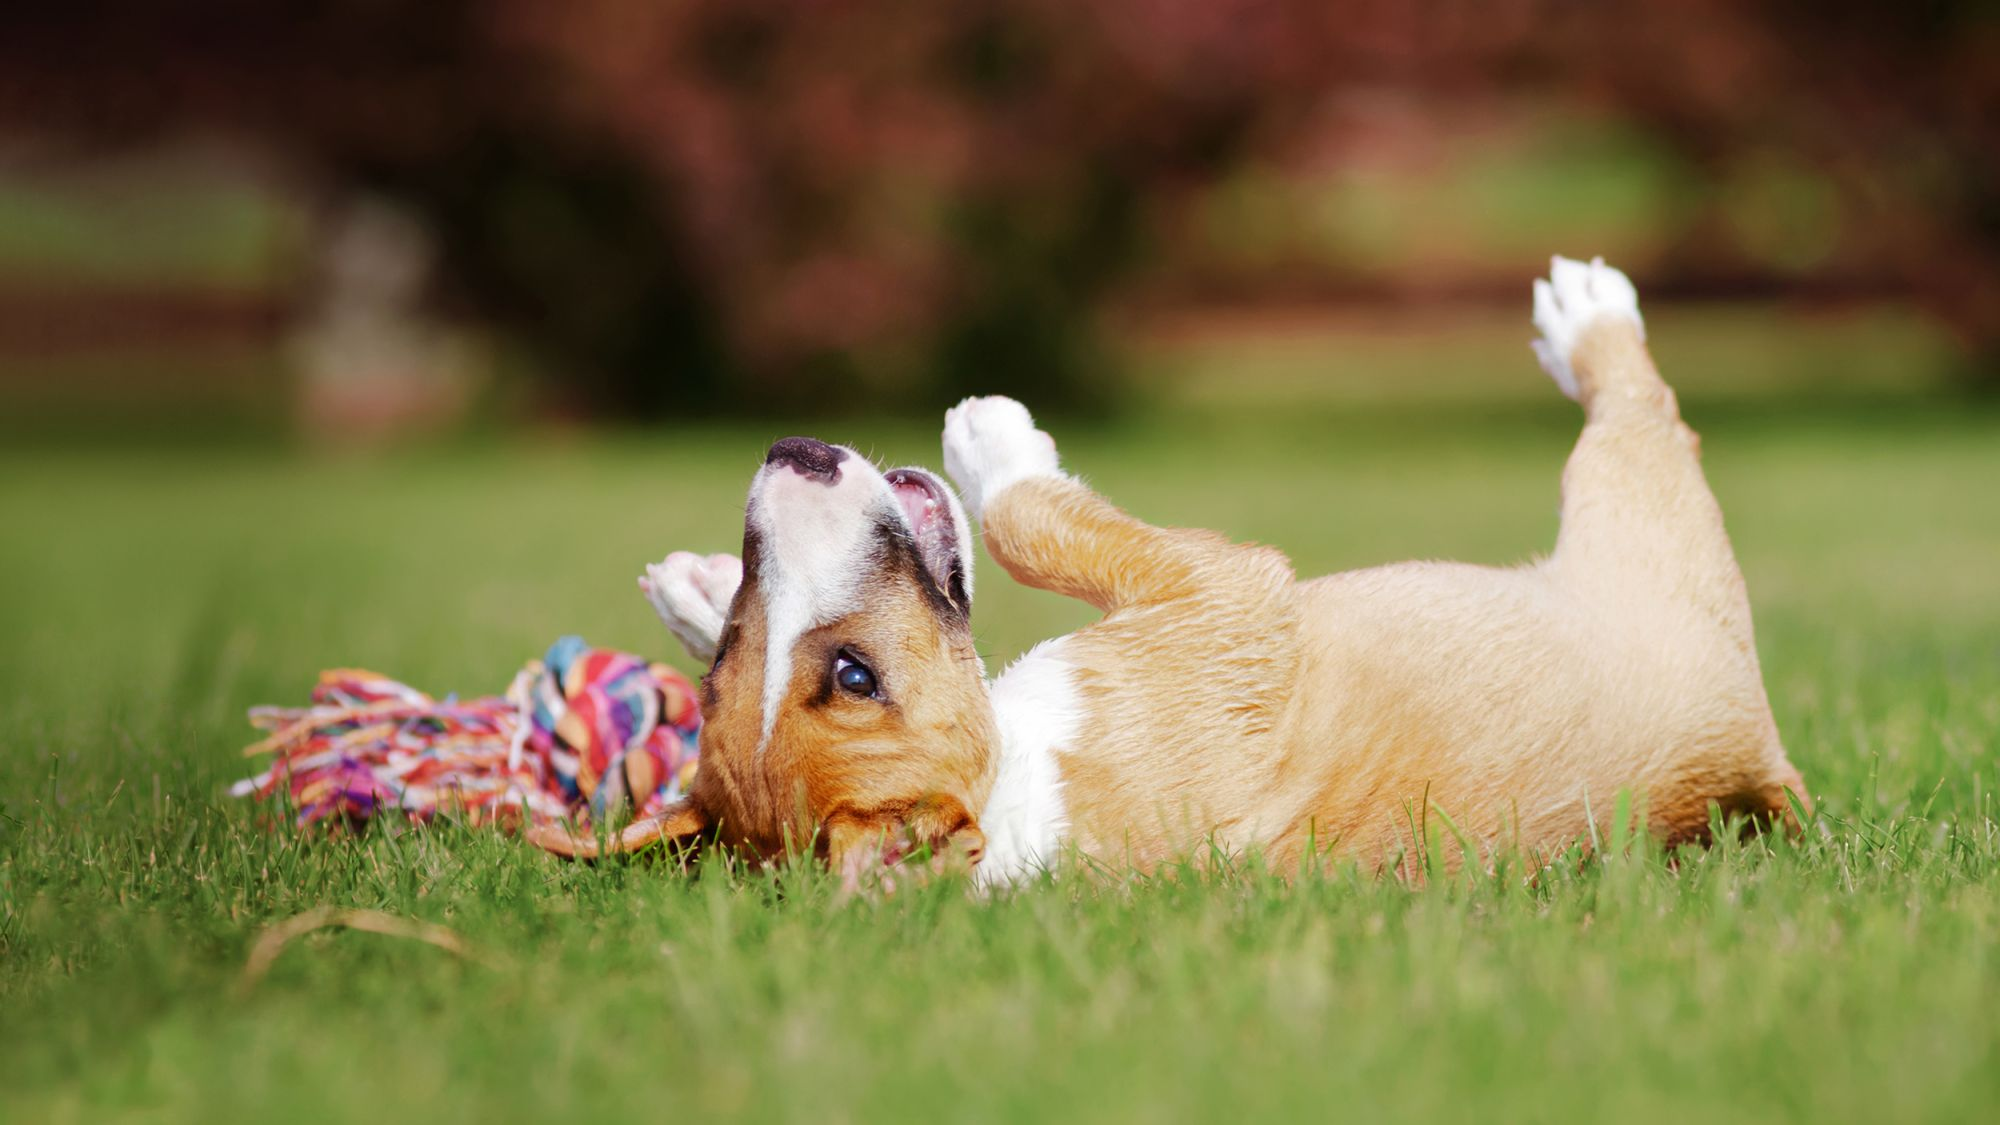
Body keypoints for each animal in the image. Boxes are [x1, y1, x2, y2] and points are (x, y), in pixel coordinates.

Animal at [532, 258, 1816, 880]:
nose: (787, 453)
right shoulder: (1225, 591)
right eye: (857, 679)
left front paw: (696, 585)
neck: (1009, 783)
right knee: (1636, 410)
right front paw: (990, 436)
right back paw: (1586, 317)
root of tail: (1757, 748)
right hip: (1637, 511)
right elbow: (1026, 518)